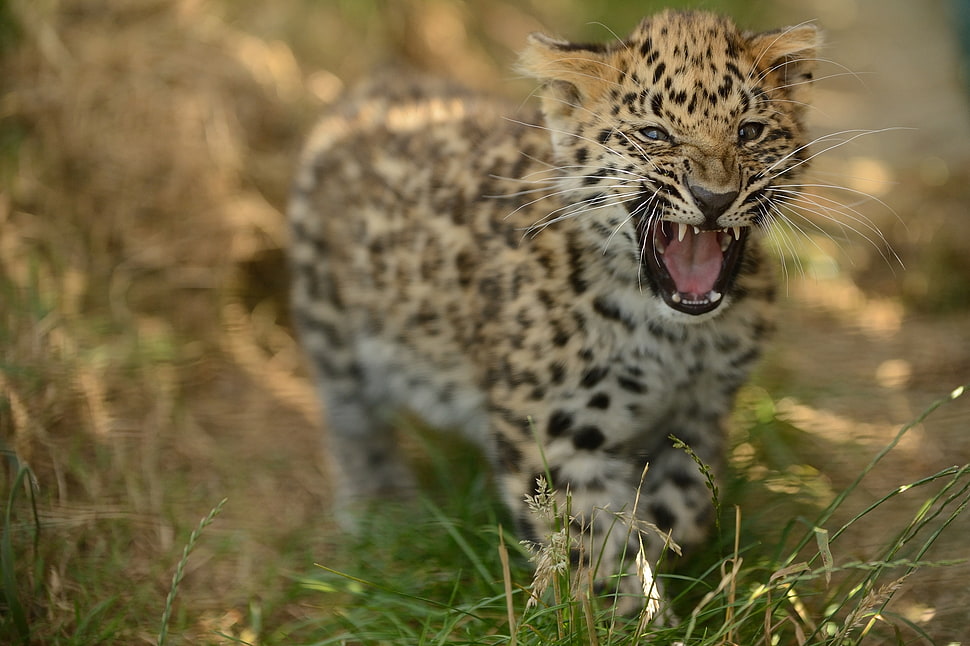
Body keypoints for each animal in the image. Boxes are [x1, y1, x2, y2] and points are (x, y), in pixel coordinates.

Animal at [288, 9, 821, 614]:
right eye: (654, 134)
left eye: (749, 132)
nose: (713, 198)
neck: (674, 335)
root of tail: (375, 88)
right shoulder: (554, 428)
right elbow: (586, 536)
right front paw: (611, 613)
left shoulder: (701, 413)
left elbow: (681, 507)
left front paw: (651, 565)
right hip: (329, 316)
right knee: (350, 416)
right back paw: (379, 503)